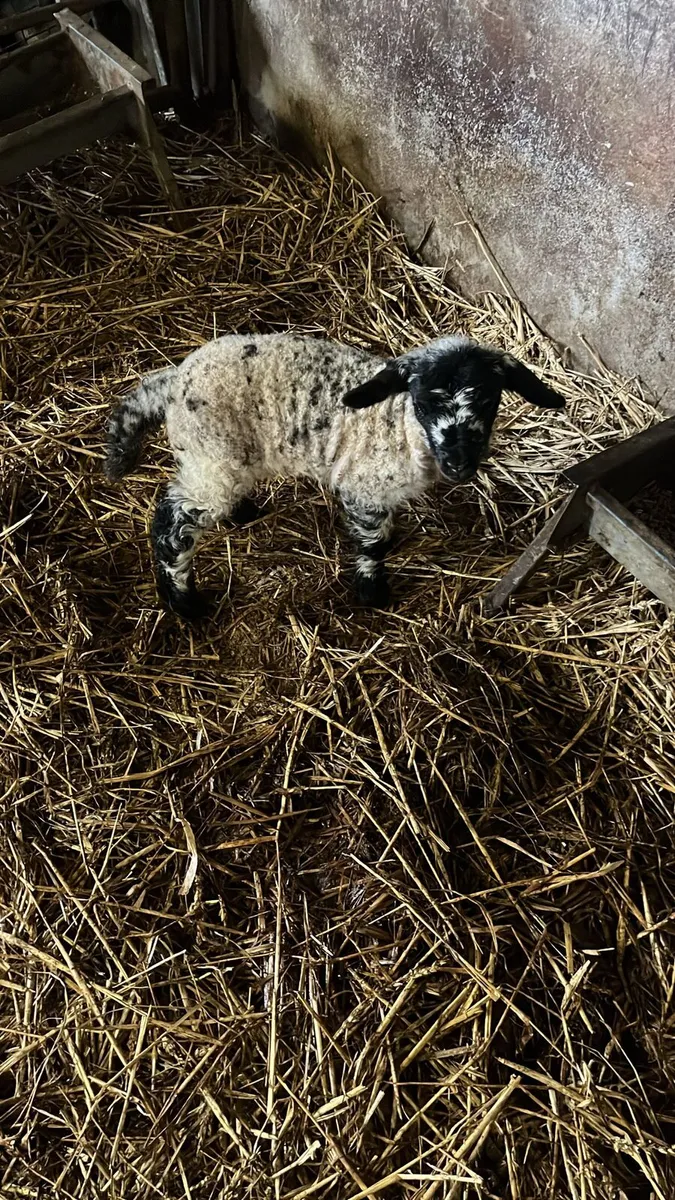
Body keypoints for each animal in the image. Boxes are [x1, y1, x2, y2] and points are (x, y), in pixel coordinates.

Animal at [105, 333, 565, 619]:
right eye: (423, 402)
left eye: (489, 400)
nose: (460, 465)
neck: (398, 424)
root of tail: (174, 379)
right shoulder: (367, 488)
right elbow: (374, 544)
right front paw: (372, 592)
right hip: (210, 454)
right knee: (172, 522)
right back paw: (184, 601)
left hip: (221, 458)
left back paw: (244, 513)